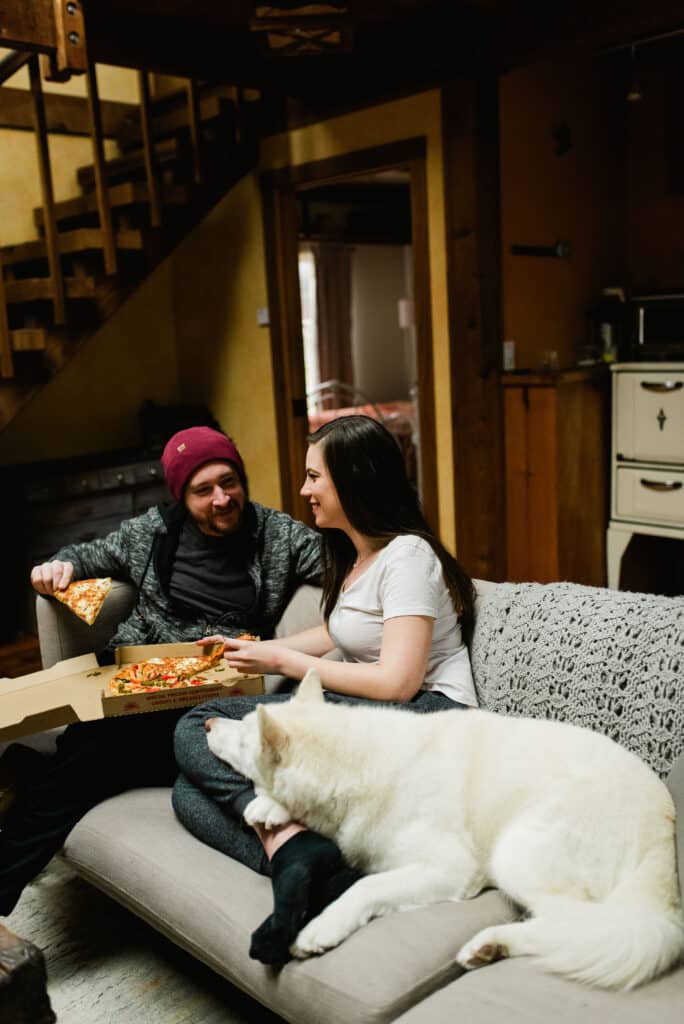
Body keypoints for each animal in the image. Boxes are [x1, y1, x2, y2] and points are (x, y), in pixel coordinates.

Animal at [206, 667, 684, 987]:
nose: (207, 722)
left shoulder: (451, 869)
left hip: (516, 854)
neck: (357, 766)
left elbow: (366, 887)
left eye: (245, 739)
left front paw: (323, 926)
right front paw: (269, 806)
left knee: (579, 926)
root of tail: (663, 839)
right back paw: (490, 945)